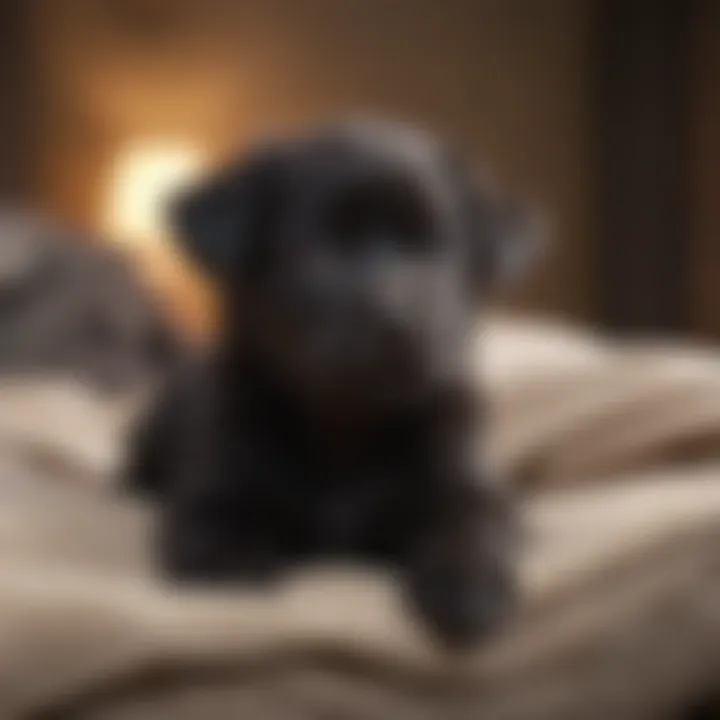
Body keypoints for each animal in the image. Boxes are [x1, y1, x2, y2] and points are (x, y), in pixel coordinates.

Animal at [126, 121, 536, 648]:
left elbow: (471, 525)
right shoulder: (214, 486)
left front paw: (468, 582)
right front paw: (229, 563)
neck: (345, 427)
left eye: (436, 248)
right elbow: (214, 520)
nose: (398, 322)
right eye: (321, 253)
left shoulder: (469, 489)